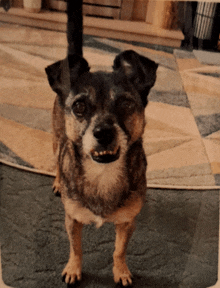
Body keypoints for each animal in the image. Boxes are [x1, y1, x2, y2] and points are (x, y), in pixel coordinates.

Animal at [45, 49, 158, 286]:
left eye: (125, 103)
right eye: (79, 106)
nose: (103, 132)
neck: (102, 174)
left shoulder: (127, 222)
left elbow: (119, 250)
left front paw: (121, 272)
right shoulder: (72, 220)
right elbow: (76, 248)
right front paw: (73, 269)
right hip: (57, 136)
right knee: (58, 159)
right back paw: (59, 182)